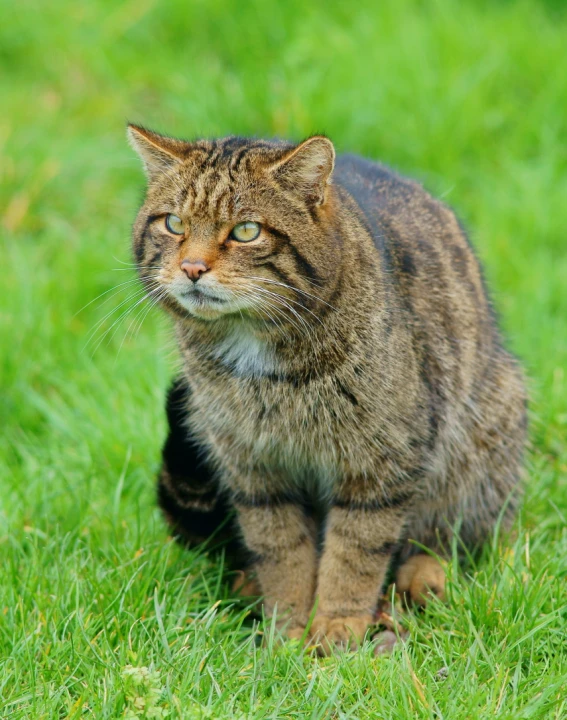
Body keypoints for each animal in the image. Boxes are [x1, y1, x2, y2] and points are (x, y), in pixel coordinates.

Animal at [127, 124, 528, 652]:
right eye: (173, 223)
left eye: (246, 231)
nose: (192, 267)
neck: (257, 357)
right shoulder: (254, 469)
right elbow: (282, 550)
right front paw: (288, 626)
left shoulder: (382, 462)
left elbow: (355, 551)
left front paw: (338, 625)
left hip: (485, 438)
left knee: (452, 537)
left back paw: (425, 577)